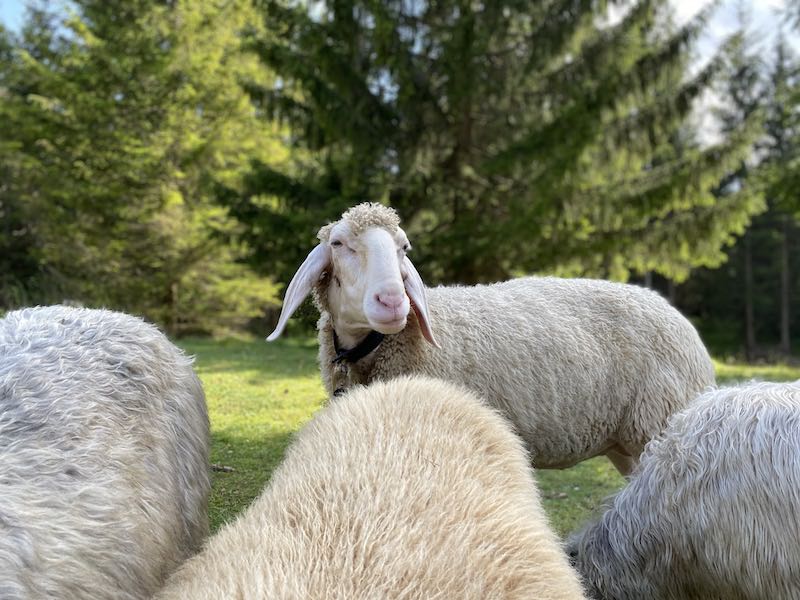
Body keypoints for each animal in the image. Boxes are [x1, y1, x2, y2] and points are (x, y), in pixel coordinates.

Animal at [267, 202, 715, 474]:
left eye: (403, 247)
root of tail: (678, 320)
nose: (393, 301)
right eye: (338, 243)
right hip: (627, 444)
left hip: (658, 425)